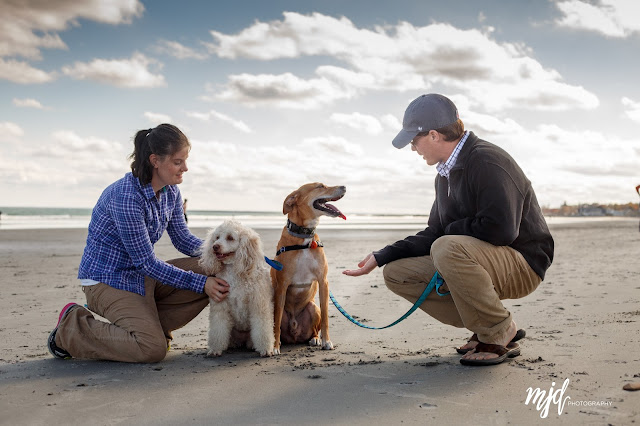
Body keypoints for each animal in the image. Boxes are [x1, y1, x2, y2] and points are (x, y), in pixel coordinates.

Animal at [196, 220, 274, 356]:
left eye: (230, 238)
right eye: (217, 237)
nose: (215, 246)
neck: (234, 270)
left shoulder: (259, 305)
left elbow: (263, 328)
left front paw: (265, 349)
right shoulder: (220, 307)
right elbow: (218, 328)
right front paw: (215, 349)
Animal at [270, 182, 344, 352]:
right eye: (320, 186)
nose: (344, 186)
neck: (304, 237)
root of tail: (294, 333)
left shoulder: (323, 281)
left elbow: (325, 318)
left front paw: (326, 341)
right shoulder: (282, 286)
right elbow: (277, 320)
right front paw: (275, 346)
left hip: (312, 307)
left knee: (315, 328)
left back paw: (315, 339)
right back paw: (280, 342)